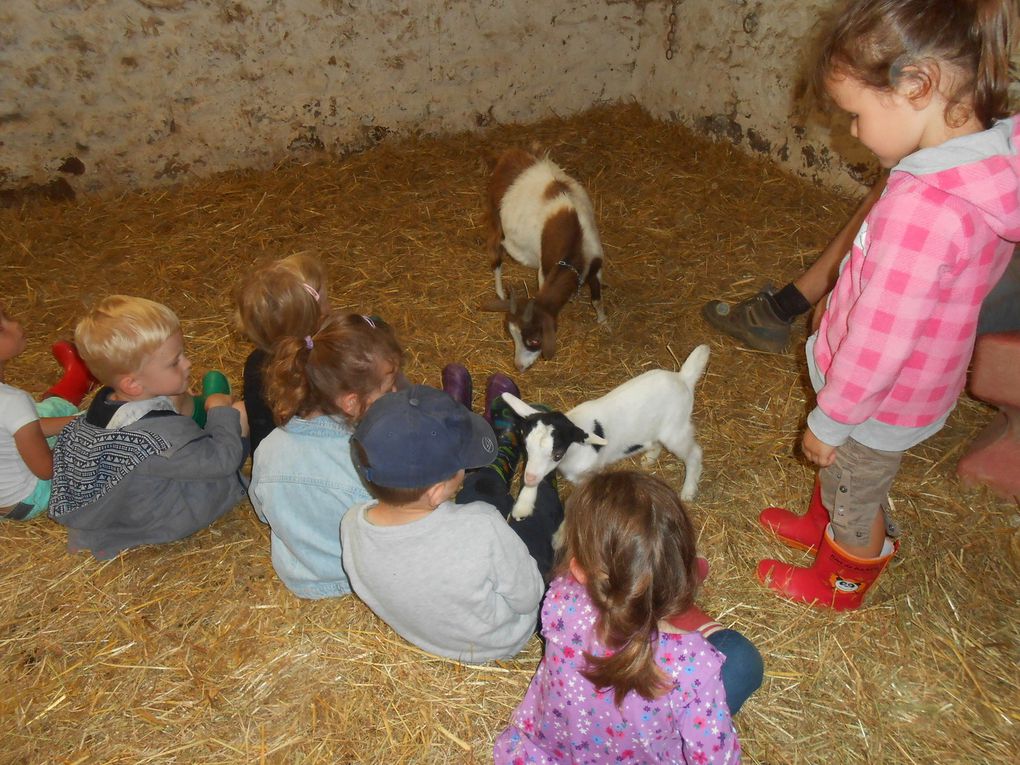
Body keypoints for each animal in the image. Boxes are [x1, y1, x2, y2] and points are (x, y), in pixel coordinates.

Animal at [479, 148, 599, 371]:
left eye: (534, 340)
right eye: (512, 335)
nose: (518, 367)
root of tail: (506, 156)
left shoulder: (595, 260)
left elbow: (597, 296)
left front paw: (603, 322)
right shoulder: (546, 270)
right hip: (495, 220)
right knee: (495, 254)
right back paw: (499, 291)